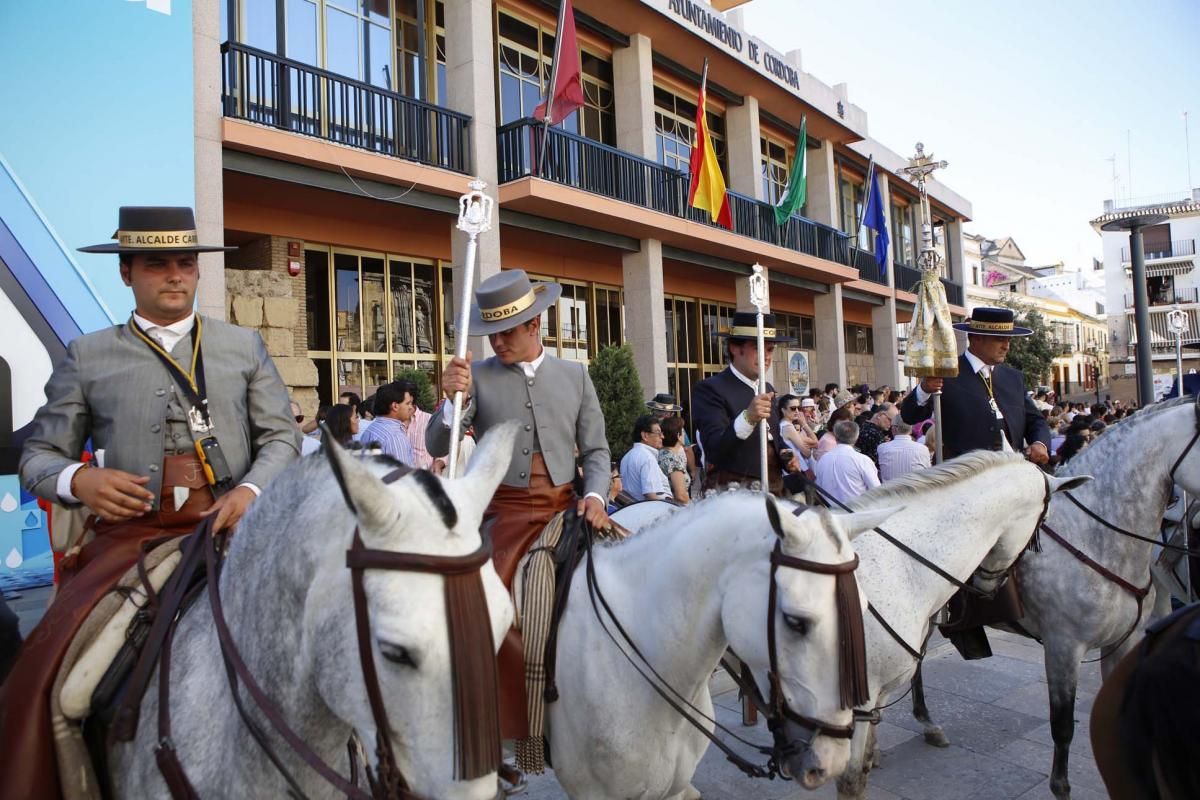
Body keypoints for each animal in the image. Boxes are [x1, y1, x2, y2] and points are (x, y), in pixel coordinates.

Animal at [830, 453, 1094, 796]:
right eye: (1043, 522)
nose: (988, 584)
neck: (899, 565)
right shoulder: (856, 702)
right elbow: (851, 780)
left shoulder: (876, 694)